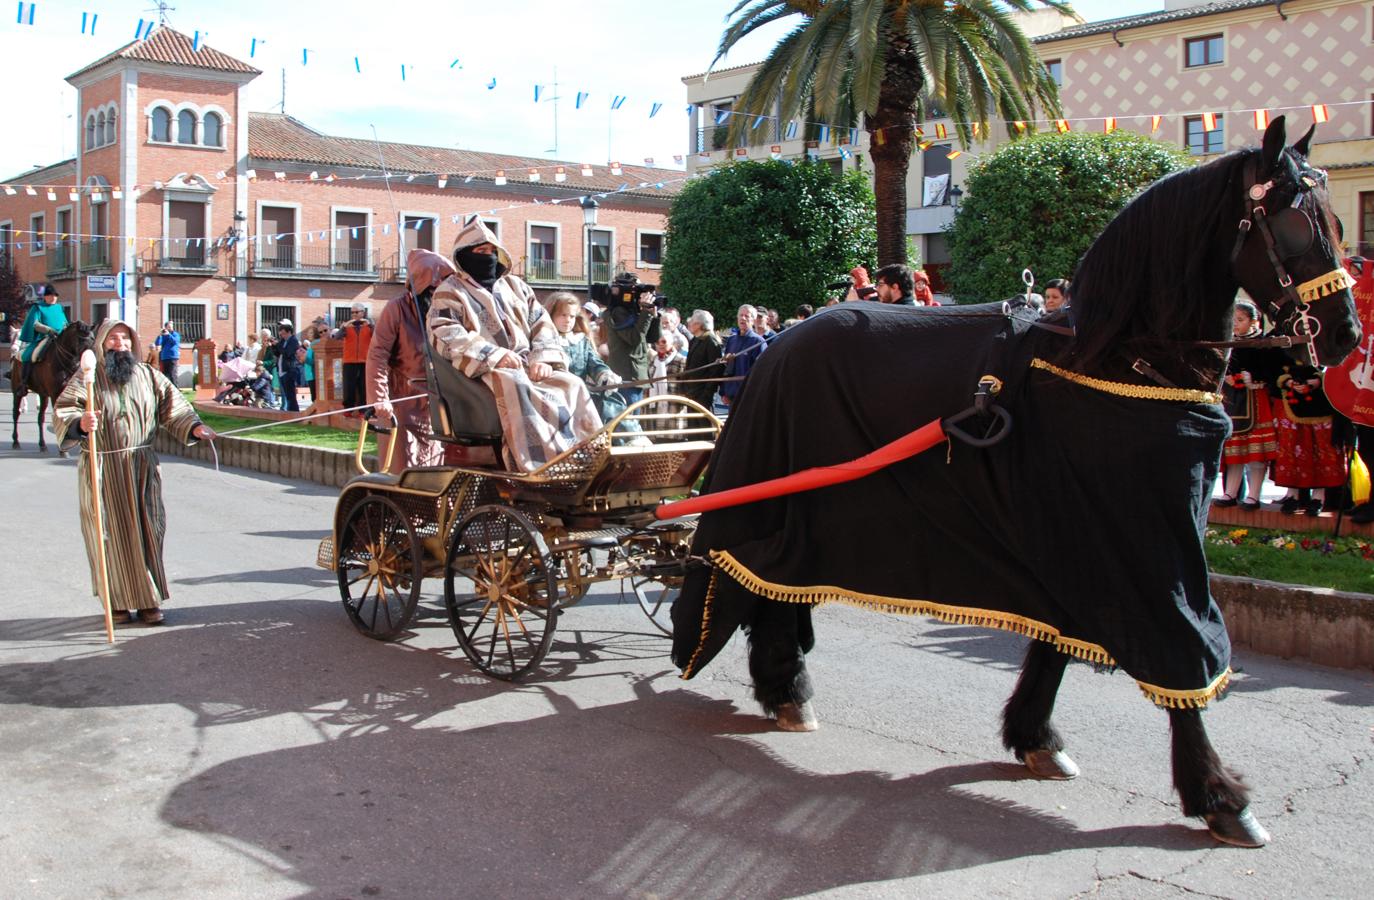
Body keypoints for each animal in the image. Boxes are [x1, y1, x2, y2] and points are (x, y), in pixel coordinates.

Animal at [10, 320, 95, 453]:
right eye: (81, 339)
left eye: (92, 339)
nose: (90, 360)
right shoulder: (56, 394)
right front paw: (63, 451)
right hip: (16, 390)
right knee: (15, 413)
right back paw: (15, 441)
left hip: (43, 395)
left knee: (40, 418)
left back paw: (42, 444)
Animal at [670, 116, 1357, 846]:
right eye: (1293, 224)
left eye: (1337, 219)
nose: (1344, 334)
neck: (1116, 360)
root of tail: (782, 345)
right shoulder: (1143, 548)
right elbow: (1179, 643)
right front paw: (1218, 792)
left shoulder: (1079, 541)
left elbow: (1060, 639)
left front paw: (1036, 735)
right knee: (761, 579)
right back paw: (784, 686)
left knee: (769, 584)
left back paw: (783, 688)